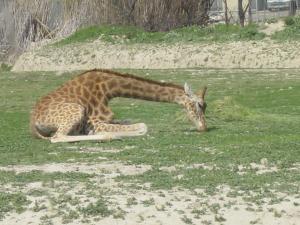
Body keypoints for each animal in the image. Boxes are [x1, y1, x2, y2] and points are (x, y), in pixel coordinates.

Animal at [31, 68, 209, 142]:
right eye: (200, 105)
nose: (203, 128)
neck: (108, 90)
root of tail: (32, 124)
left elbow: (131, 122)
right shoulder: (94, 122)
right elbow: (143, 126)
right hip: (76, 110)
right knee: (57, 137)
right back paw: (110, 136)